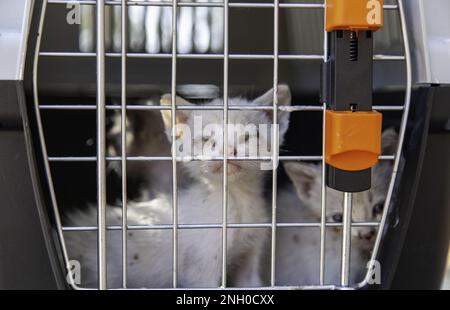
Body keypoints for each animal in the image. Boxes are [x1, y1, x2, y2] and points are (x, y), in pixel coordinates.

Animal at [66, 85, 292, 288]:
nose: (228, 150)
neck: (237, 206)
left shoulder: (250, 255)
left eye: (248, 136)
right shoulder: (200, 267)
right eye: (206, 138)